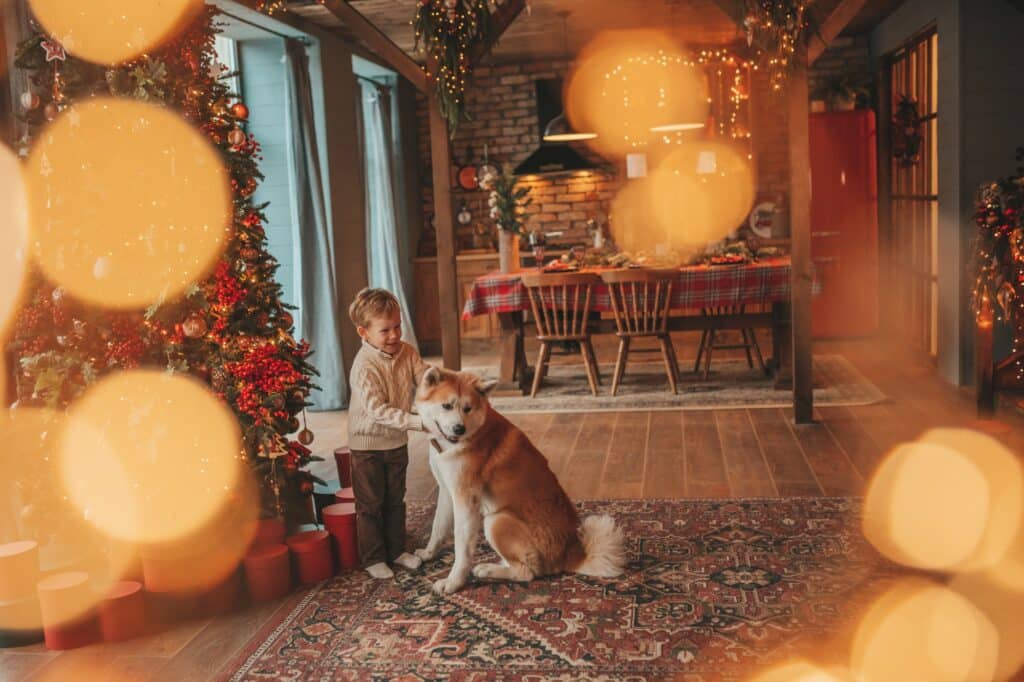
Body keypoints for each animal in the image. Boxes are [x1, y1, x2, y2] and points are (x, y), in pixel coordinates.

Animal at [413, 364, 622, 593]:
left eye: (467, 408)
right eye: (446, 406)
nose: (459, 429)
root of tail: (571, 556)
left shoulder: (466, 500)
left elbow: (462, 547)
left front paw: (453, 582)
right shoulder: (446, 491)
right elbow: (438, 528)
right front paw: (428, 554)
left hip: (496, 520)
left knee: (526, 573)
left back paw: (489, 570)